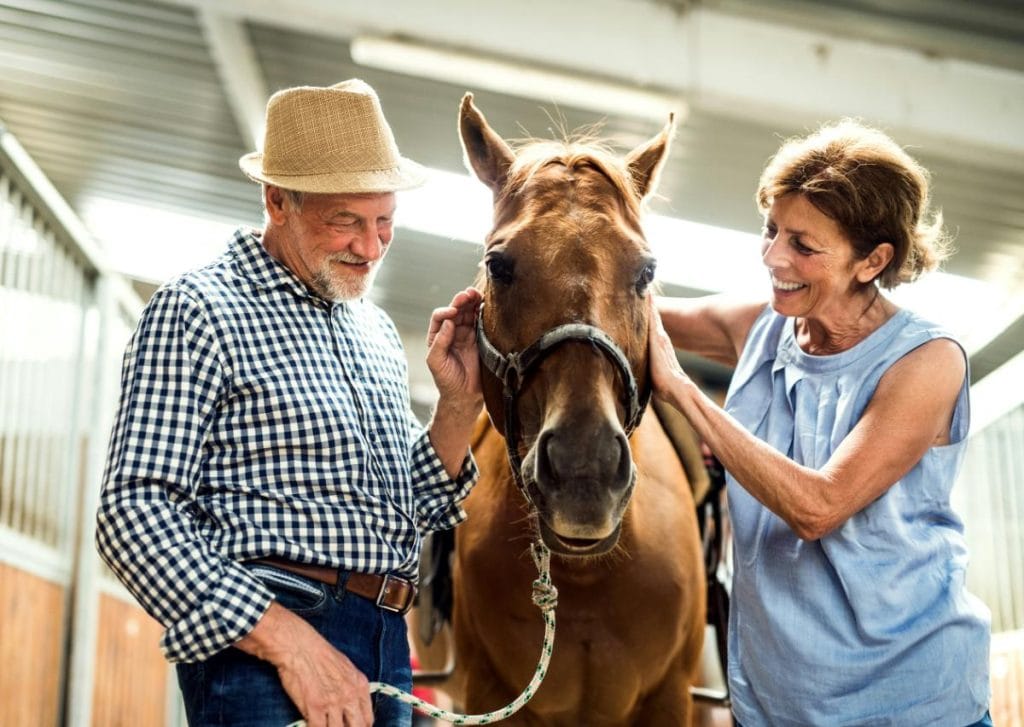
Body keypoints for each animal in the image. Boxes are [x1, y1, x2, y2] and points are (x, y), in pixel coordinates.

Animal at [415, 96, 704, 727]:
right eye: (499, 265)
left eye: (646, 271)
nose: (583, 468)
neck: (583, 578)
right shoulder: (492, 693)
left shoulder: (672, 699)